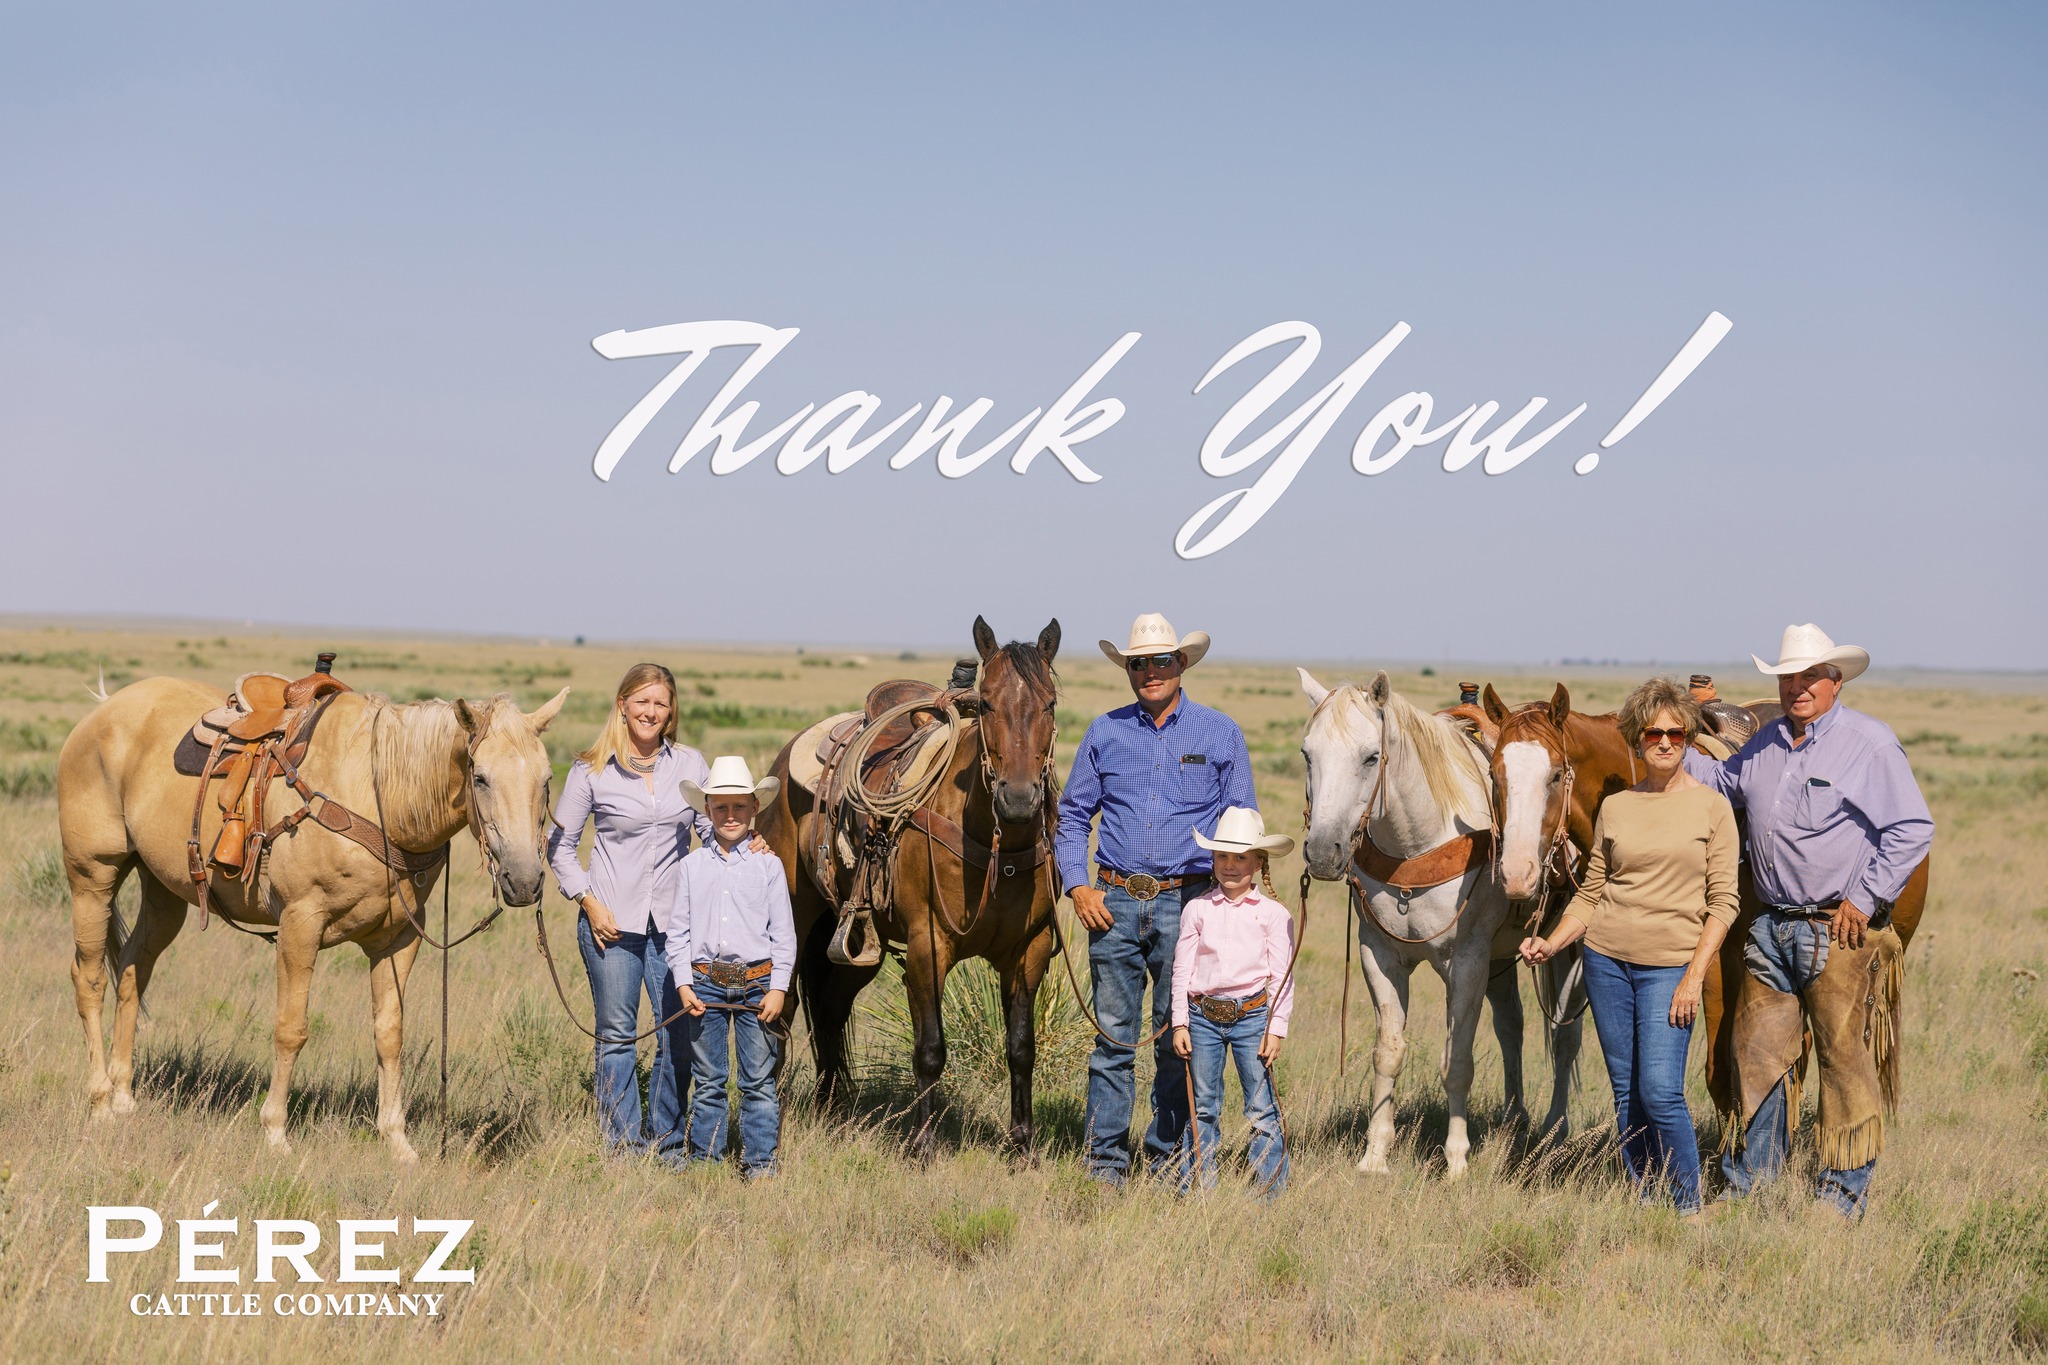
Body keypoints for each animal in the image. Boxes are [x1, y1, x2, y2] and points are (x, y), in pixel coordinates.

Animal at [59, 671, 565, 1154]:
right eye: (480, 777)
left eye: (546, 781)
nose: (524, 880)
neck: (378, 796)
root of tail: (104, 708)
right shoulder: (300, 926)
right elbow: (291, 1028)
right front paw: (275, 1132)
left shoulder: (400, 938)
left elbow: (390, 1033)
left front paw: (397, 1140)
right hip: (93, 876)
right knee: (90, 978)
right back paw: (100, 1102)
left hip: (163, 891)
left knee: (132, 970)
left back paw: (124, 1098)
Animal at [761, 618, 1064, 1154]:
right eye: (987, 703)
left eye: (1049, 704)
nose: (1019, 799)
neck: (993, 844)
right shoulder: (928, 945)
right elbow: (929, 1049)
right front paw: (922, 1144)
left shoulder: (1029, 951)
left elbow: (1021, 1048)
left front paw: (1021, 1143)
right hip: (795, 915)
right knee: (787, 1006)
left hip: (861, 941)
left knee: (832, 1005)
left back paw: (832, 1107)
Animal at [1294, 671, 1581, 1178]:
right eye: (1308, 754)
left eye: (1371, 757)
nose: (1324, 852)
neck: (1417, 844)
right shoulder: (1379, 956)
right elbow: (1388, 1052)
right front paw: (1375, 1154)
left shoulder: (1467, 962)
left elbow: (1457, 1061)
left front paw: (1457, 1160)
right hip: (1499, 962)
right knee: (1512, 1025)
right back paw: (1514, 1120)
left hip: (1562, 951)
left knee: (1565, 1036)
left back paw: (1554, 1131)